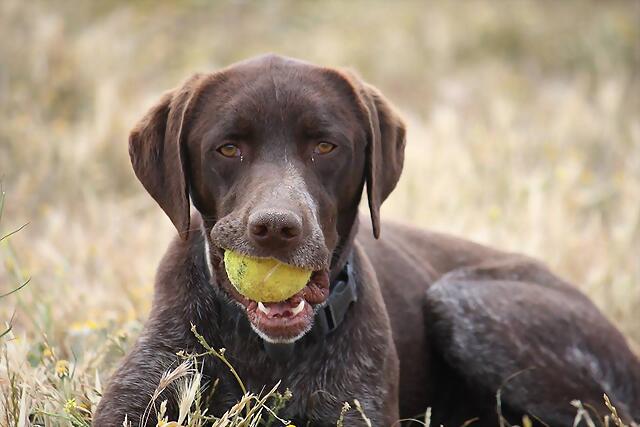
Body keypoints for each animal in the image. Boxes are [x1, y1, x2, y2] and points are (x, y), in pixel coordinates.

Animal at [95, 55, 640, 426]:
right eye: (228, 149)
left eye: (325, 146)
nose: (276, 228)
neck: (265, 352)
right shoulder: (138, 396)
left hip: (461, 301)